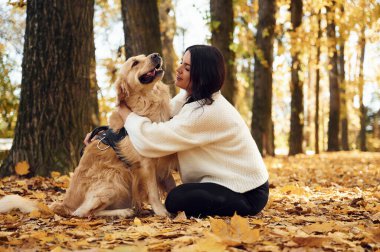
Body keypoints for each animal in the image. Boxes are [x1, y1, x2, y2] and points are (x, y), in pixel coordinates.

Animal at [0, 53, 177, 219]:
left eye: (144, 56)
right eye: (135, 63)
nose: (156, 55)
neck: (147, 101)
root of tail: (64, 204)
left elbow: (172, 185)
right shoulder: (146, 163)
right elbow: (153, 191)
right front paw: (161, 211)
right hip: (114, 177)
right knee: (83, 212)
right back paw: (124, 211)